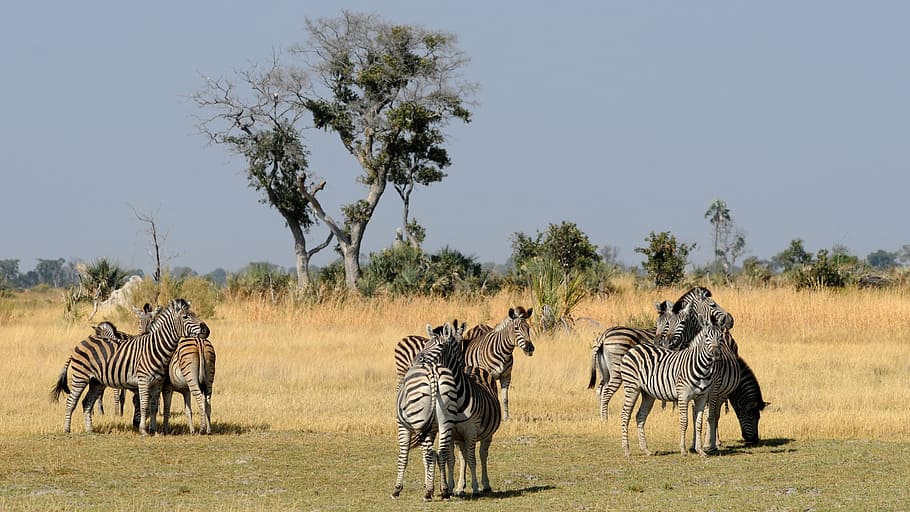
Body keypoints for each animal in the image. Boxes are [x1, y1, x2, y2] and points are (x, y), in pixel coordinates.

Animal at [52, 298, 212, 434]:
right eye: (185, 317)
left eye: (195, 315)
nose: (207, 330)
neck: (155, 348)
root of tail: (83, 341)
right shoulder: (143, 381)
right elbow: (144, 404)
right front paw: (143, 430)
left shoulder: (157, 383)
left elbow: (153, 406)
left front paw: (153, 430)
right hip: (80, 377)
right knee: (71, 401)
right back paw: (66, 430)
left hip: (96, 381)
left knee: (87, 402)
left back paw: (89, 430)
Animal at [392, 320, 466, 500]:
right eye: (426, 344)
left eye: (439, 346)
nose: (417, 358)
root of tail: (433, 372)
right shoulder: (432, 429)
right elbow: (437, 455)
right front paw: (434, 484)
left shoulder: (403, 426)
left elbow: (404, 455)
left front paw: (397, 489)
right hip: (445, 420)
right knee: (442, 451)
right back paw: (444, 491)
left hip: (419, 421)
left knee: (429, 454)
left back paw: (428, 493)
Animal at [592, 286, 732, 422]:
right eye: (713, 305)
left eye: (668, 323)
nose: (730, 320)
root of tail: (604, 335)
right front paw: (672, 408)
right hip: (617, 370)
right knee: (606, 392)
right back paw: (605, 419)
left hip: (605, 371)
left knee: (600, 389)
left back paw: (601, 416)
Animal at [616, 314, 732, 458]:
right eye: (706, 336)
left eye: (720, 337)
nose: (717, 355)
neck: (702, 368)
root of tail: (634, 348)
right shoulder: (683, 396)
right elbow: (684, 422)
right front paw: (683, 450)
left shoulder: (702, 397)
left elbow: (698, 424)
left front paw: (700, 451)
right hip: (632, 387)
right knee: (625, 415)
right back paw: (626, 450)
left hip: (647, 393)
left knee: (640, 416)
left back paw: (646, 450)